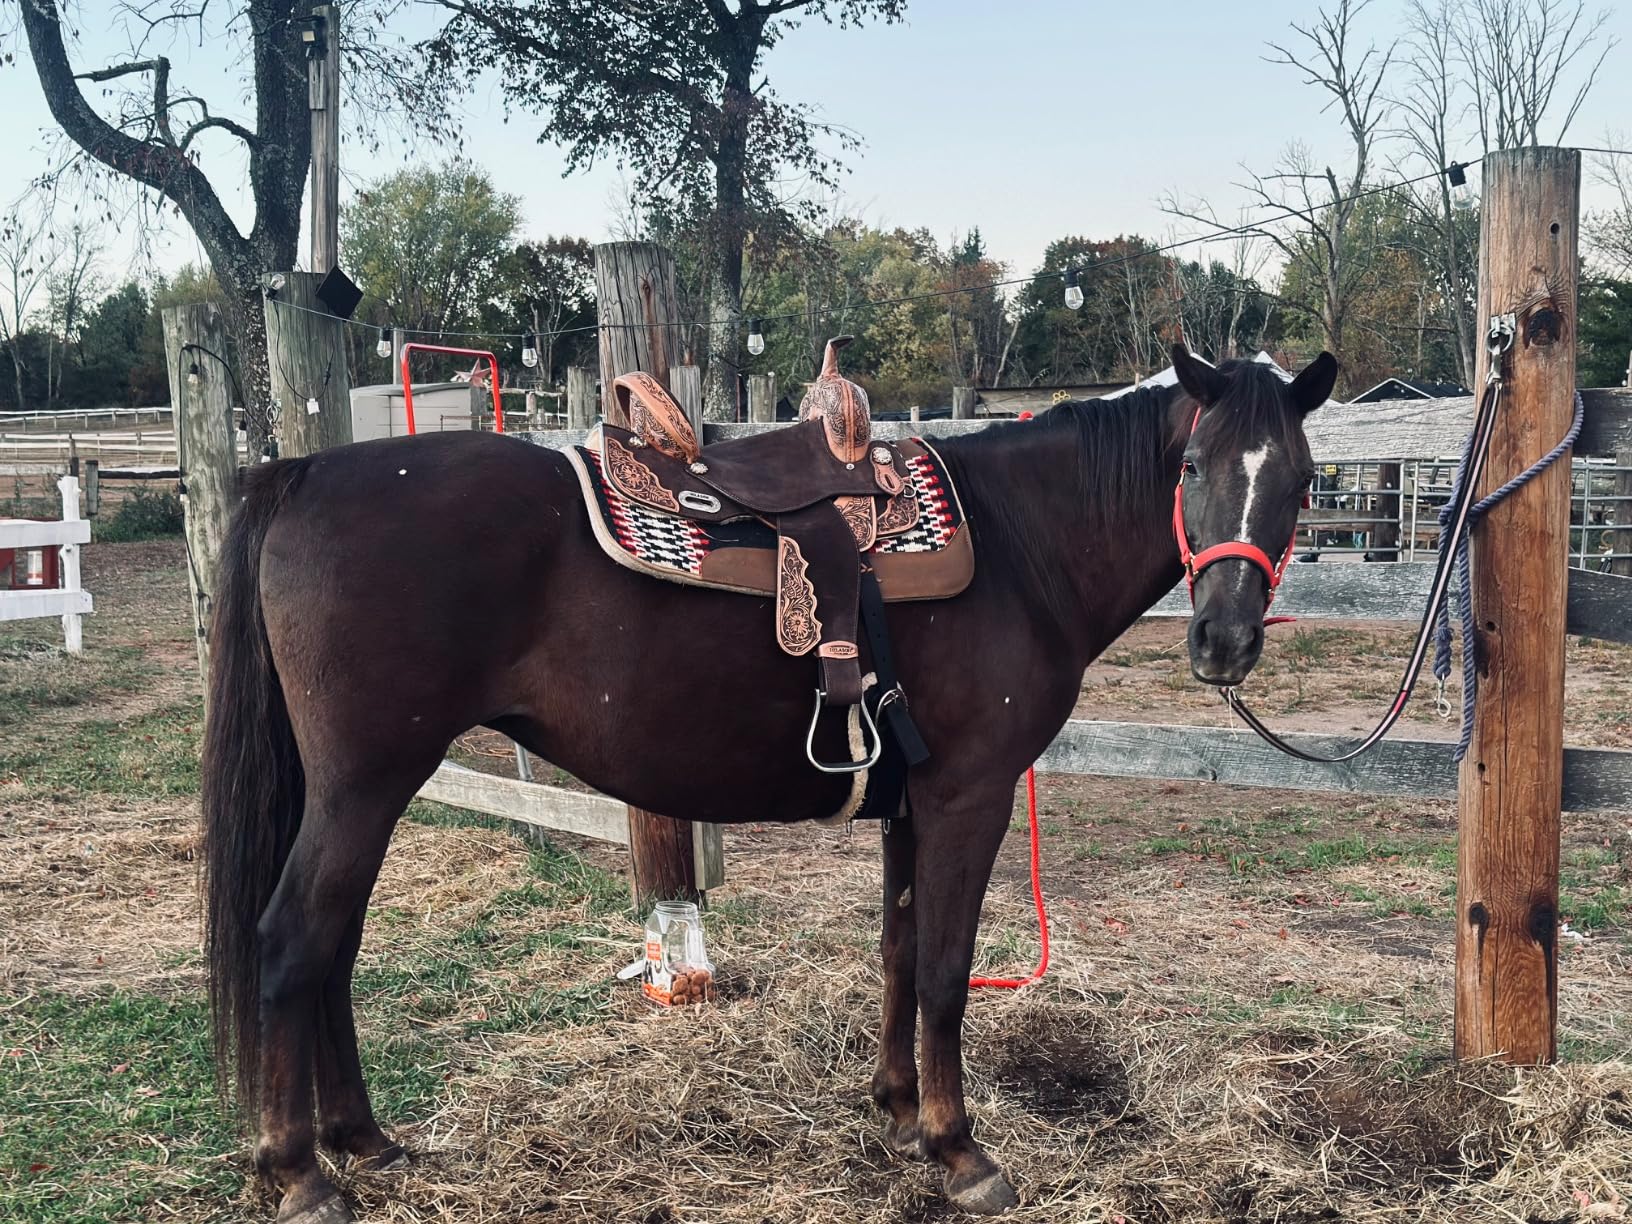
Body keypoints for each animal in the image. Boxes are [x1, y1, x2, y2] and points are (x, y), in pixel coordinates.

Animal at [201, 345, 1337, 1221]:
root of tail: (303, 475)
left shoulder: (908, 801)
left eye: (1301, 480)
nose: (1225, 640)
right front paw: (959, 1150)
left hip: (354, 792)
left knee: (333, 946)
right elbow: (946, 969)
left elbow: (899, 948)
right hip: (365, 785)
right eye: (1191, 462)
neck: (1020, 543)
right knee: (295, 941)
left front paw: (896, 1110)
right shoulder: (968, 796)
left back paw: (363, 1140)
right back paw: (301, 1172)